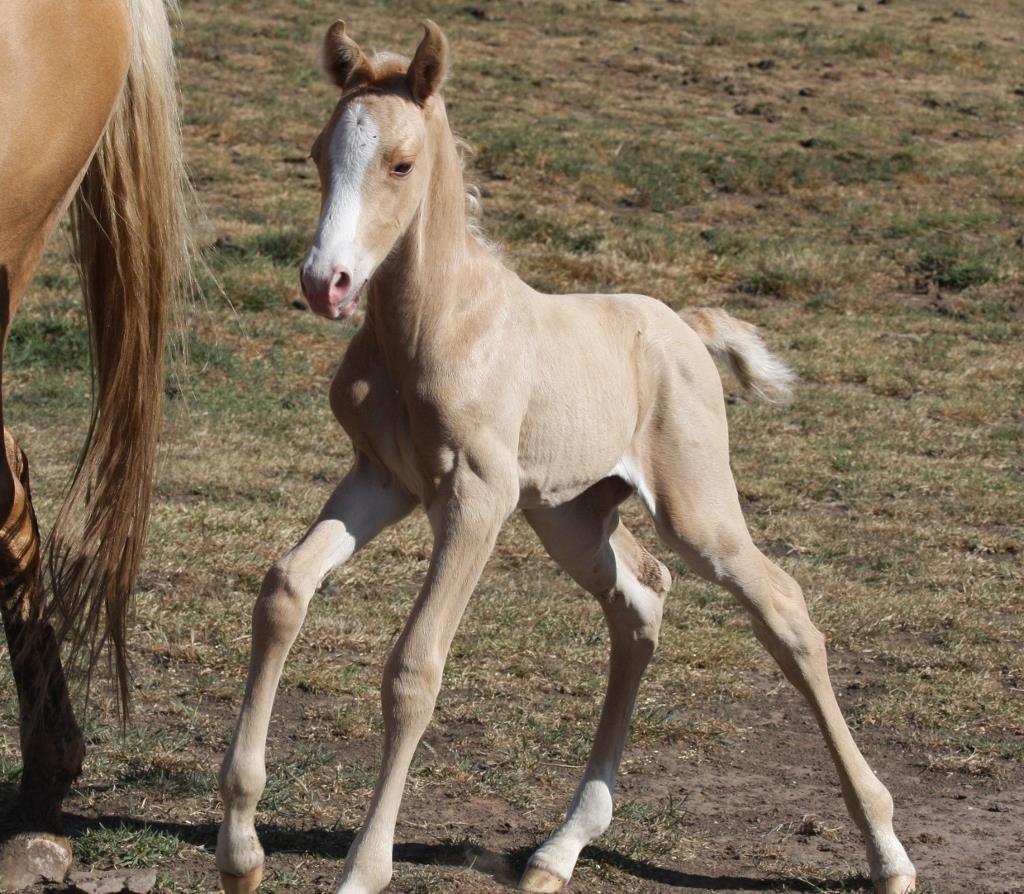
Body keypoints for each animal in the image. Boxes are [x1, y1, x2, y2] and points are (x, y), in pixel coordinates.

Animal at [214, 20, 913, 892]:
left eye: (400, 163)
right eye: (318, 153)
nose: (325, 283)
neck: (436, 326)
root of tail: (685, 325)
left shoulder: (474, 499)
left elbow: (415, 668)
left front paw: (361, 871)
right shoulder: (381, 478)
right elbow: (283, 590)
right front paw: (240, 852)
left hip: (694, 510)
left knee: (783, 610)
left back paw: (888, 851)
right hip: (570, 516)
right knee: (641, 597)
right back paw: (561, 846)